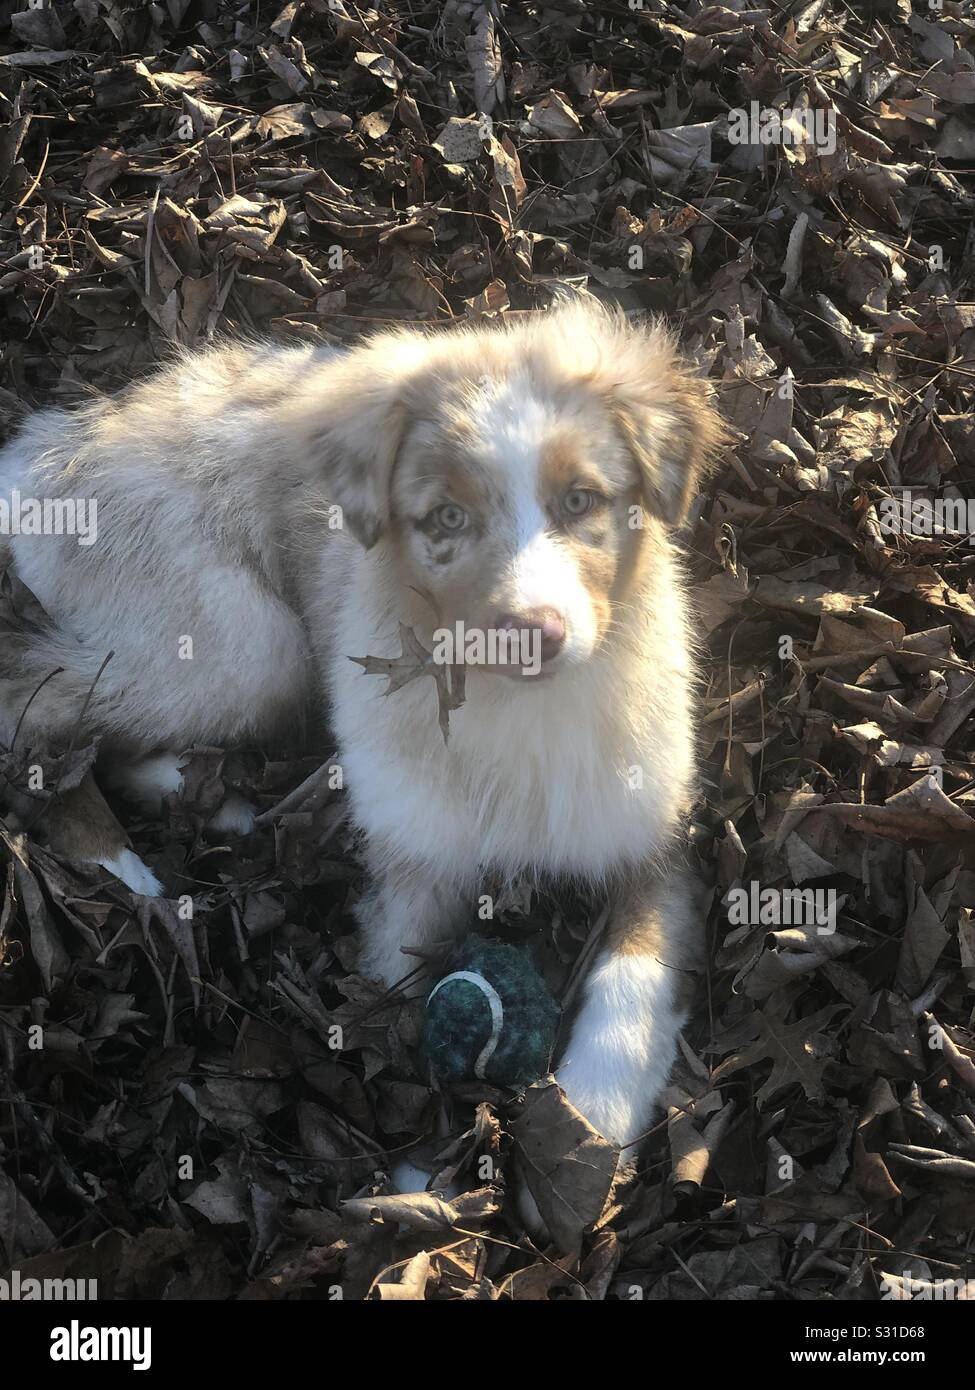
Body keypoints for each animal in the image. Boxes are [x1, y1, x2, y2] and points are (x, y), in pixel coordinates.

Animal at [0, 296, 717, 1173]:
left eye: (581, 500)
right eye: (446, 518)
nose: (533, 636)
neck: (516, 715)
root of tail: (58, 440)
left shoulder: (657, 837)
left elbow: (632, 979)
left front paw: (590, 1119)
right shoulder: (413, 876)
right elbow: (390, 1017)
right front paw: (419, 1161)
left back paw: (228, 802)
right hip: (240, 646)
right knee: (35, 706)